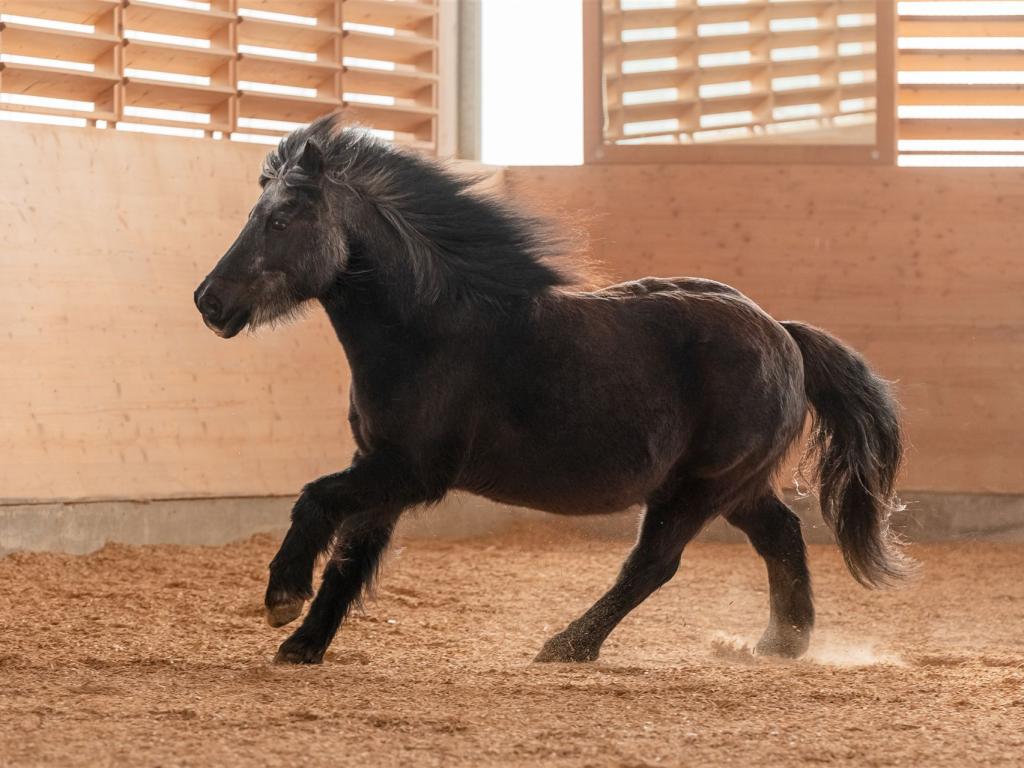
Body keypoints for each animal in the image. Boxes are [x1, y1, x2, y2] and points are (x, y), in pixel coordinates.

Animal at [194, 115, 913, 665]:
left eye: (282, 218)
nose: (210, 301)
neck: (429, 330)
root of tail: (783, 333)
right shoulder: (381, 468)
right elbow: (350, 555)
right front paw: (304, 645)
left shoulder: (412, 470)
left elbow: (316, 501)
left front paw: (282, 599)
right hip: (737, 486)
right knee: (781, 536)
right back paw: (779, 643)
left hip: (698, 488)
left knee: (653, 564)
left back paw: (568, 646)